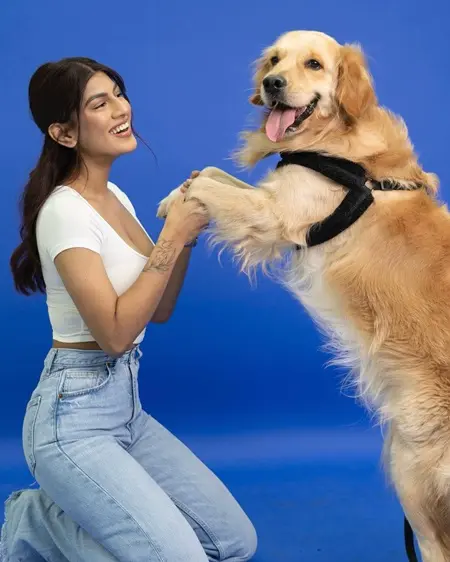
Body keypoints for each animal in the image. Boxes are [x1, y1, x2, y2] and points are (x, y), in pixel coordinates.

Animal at [157, 31, 446, 560]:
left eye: (314, 64)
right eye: (274, 59)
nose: (272, 84)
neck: (331, 144)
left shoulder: (275, 214)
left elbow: (209, 181)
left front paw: (179, 198)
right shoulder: (275, 195)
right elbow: (208, 171)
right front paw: (176, 193)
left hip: (411, 460)